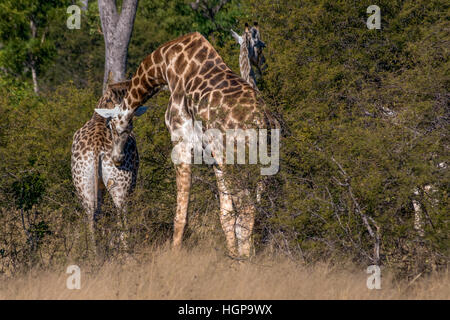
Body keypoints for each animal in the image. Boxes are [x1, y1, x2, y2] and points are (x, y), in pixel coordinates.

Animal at [71, 80, 149, 252]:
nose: (118, 159)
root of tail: (96, 146)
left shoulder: (99, 186)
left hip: (84, 186)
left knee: (91, 218)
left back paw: (95, 253)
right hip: (121, 186)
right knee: (122, 216)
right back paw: (127, 252)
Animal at [95, 31, 278, 258]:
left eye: (111, 126)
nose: (117, 159)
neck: (163, 67)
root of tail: (264, 121)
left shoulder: (180, 143)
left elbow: (181, 214)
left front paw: (174, 255)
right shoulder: (213, 157)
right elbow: (225, 213)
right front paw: (231, 256)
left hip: (237, 160)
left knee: (247, 207)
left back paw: (245, 260)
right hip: (263, 167)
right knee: (259, 207)